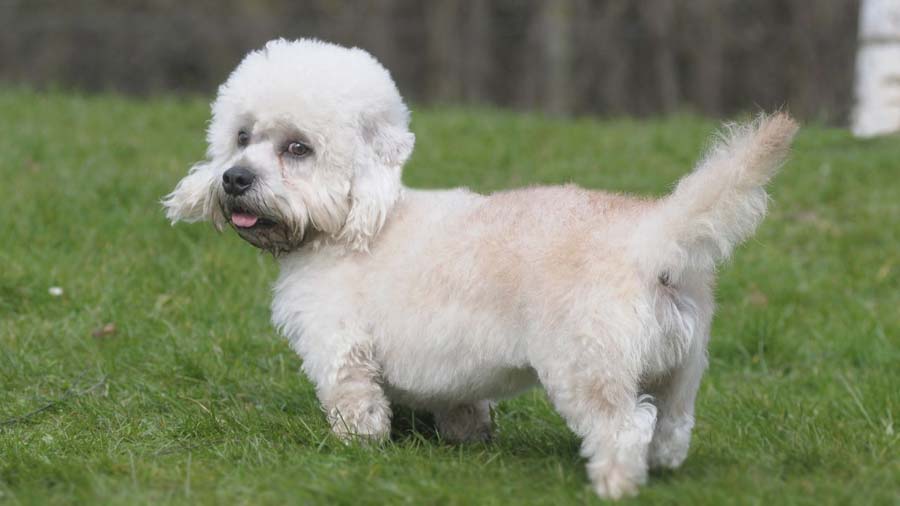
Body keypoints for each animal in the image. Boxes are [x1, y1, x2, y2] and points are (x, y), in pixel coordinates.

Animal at [165, 38, 800, 498]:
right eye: (241, 137)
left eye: (298, 148)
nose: (234, 179)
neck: (356, 221)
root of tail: (650, 237)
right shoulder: (450, 370)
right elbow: (464, 405)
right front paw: (468, 437)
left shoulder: (339, 346)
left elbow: (355, 404)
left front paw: (356, 447)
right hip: (682, 370)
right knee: (671, 427)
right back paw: (661, 467)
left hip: (587, 370)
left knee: (624, 429)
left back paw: (615, 483)